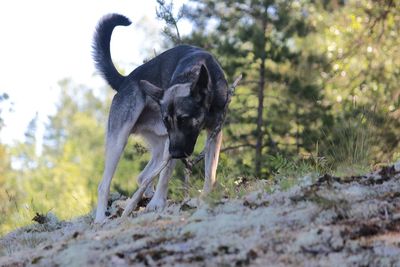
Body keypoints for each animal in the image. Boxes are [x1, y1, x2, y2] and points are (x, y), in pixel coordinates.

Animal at [91, 14, 228, 224]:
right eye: (167, 121)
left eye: (184, 119)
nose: (177, 153)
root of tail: (125, 80)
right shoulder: (171, 145)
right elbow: (166, 172)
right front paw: (157, 203)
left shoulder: (214, 132)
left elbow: (210, 172)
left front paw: (207, 196)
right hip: (120, 141)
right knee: (104, 185)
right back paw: (101, 219)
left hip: (159, 145)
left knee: (143, 177)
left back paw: (142, 198)